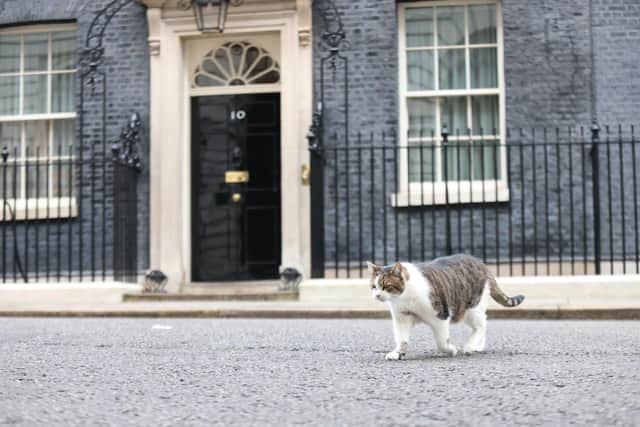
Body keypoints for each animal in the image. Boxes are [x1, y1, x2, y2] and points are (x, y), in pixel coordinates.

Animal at [364, 254, 524, 362]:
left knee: (481, 324)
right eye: (374, 286)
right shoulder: (402, 318)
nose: (377, 295)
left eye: (386, 286)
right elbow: (402, 339)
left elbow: (441, 342)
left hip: (471, 307)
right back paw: (478, 346)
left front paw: (450, 350)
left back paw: (470, 346)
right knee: (482, 323)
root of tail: (480, 263)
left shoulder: (440, 316)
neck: (404, 298)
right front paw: (398, 353)